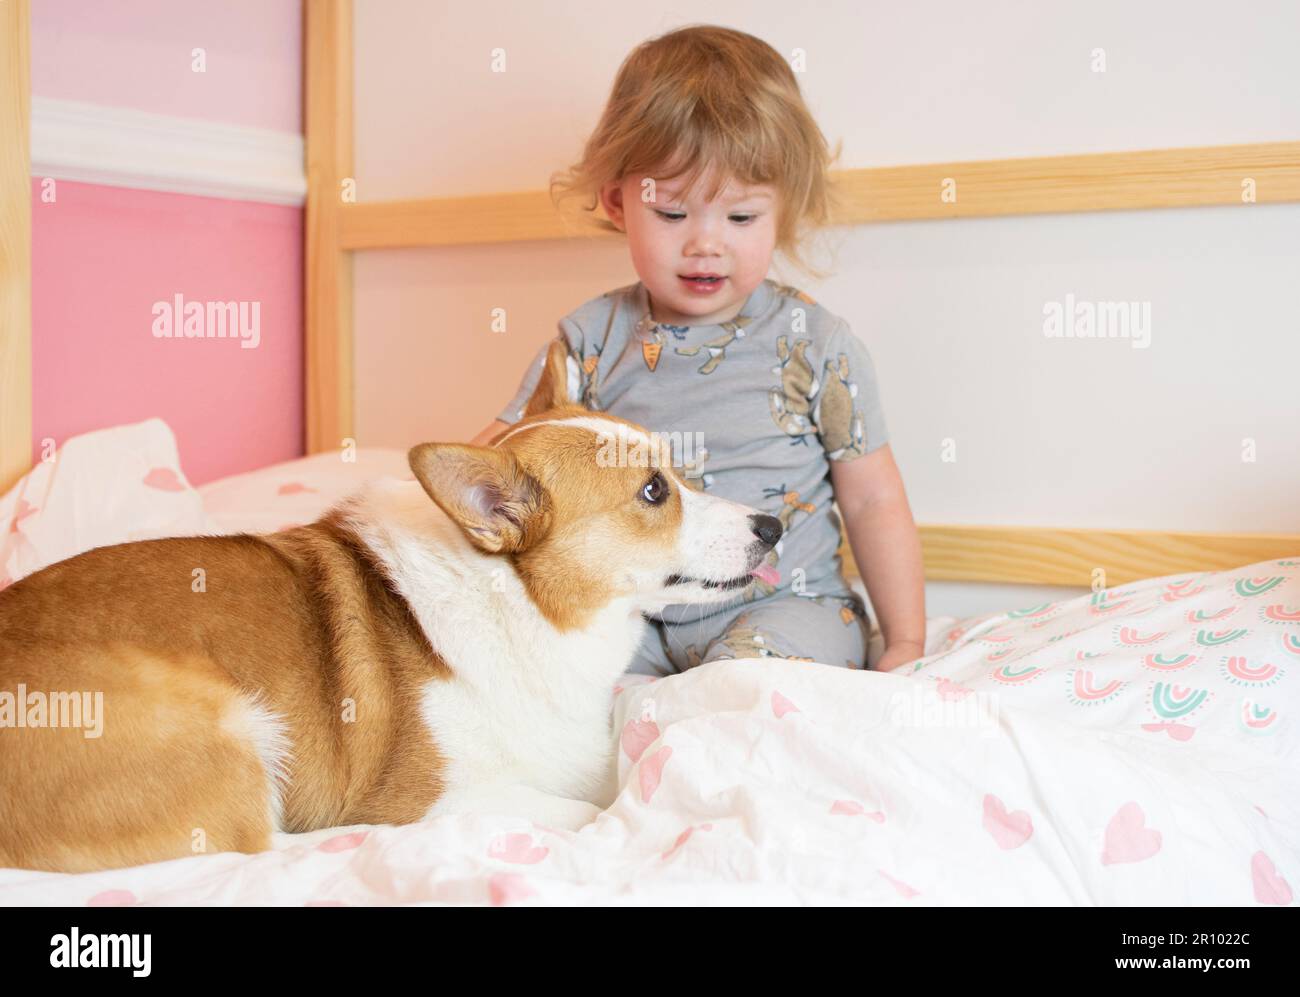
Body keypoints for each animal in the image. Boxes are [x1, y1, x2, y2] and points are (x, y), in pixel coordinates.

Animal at [0, 337, 780, 868]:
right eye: (653, 492)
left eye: (679, 474)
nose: (771, 527)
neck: (524, 601)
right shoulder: (446, 796)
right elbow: (582, 806)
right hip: (228, 723)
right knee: (268, 848)